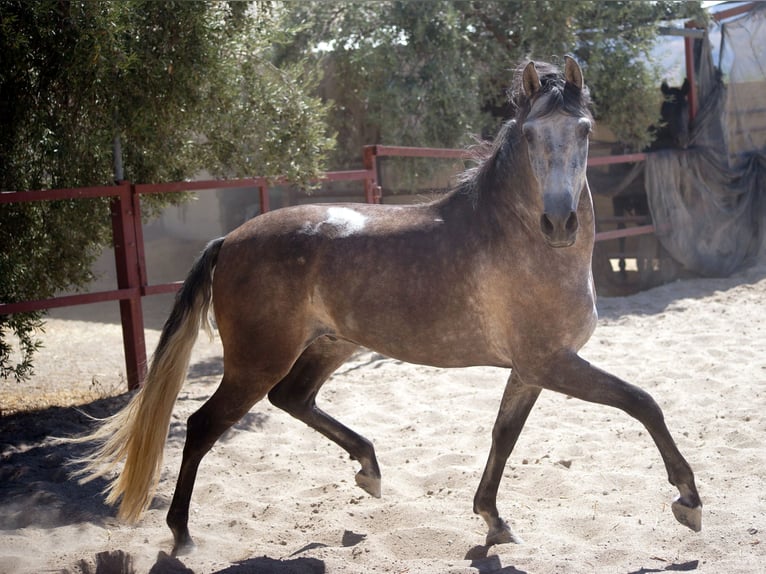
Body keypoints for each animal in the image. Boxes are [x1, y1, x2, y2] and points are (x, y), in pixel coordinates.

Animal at [73, 56, 704, 556]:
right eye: (530, 136)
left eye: (584, 129)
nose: (559, 223)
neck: (520, 240)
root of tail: (229, 240)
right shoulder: (553, 362)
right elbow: (643, 403)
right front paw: (689, 500)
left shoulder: (530, 370)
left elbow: (503, 437)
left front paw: (493, 522)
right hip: (257, 360)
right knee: (205, 425)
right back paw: (182, 534)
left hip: (332, 345)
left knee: (292, 399)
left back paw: (369, 470)